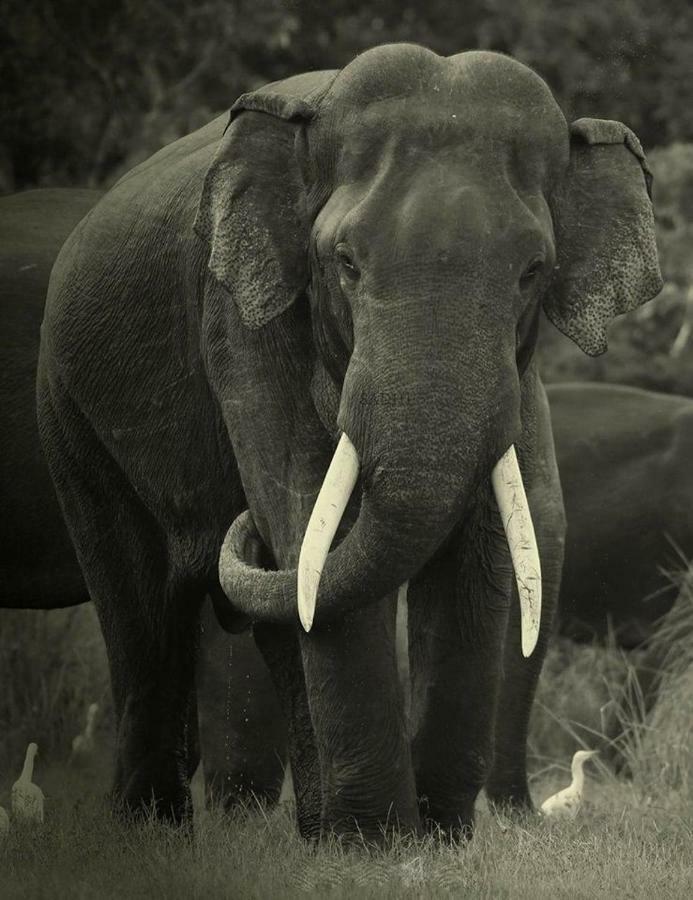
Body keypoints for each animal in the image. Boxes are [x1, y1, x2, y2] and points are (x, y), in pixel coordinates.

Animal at [36, 44, 660, 844]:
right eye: (345, 263)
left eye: (532, 272)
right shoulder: (243, 320)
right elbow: (306, 512)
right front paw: (378, 844)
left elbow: (479, 549)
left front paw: (436, 838)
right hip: (71, 412)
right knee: (139, 608)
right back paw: (151, 832)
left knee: (273, 619)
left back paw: (310, 830)